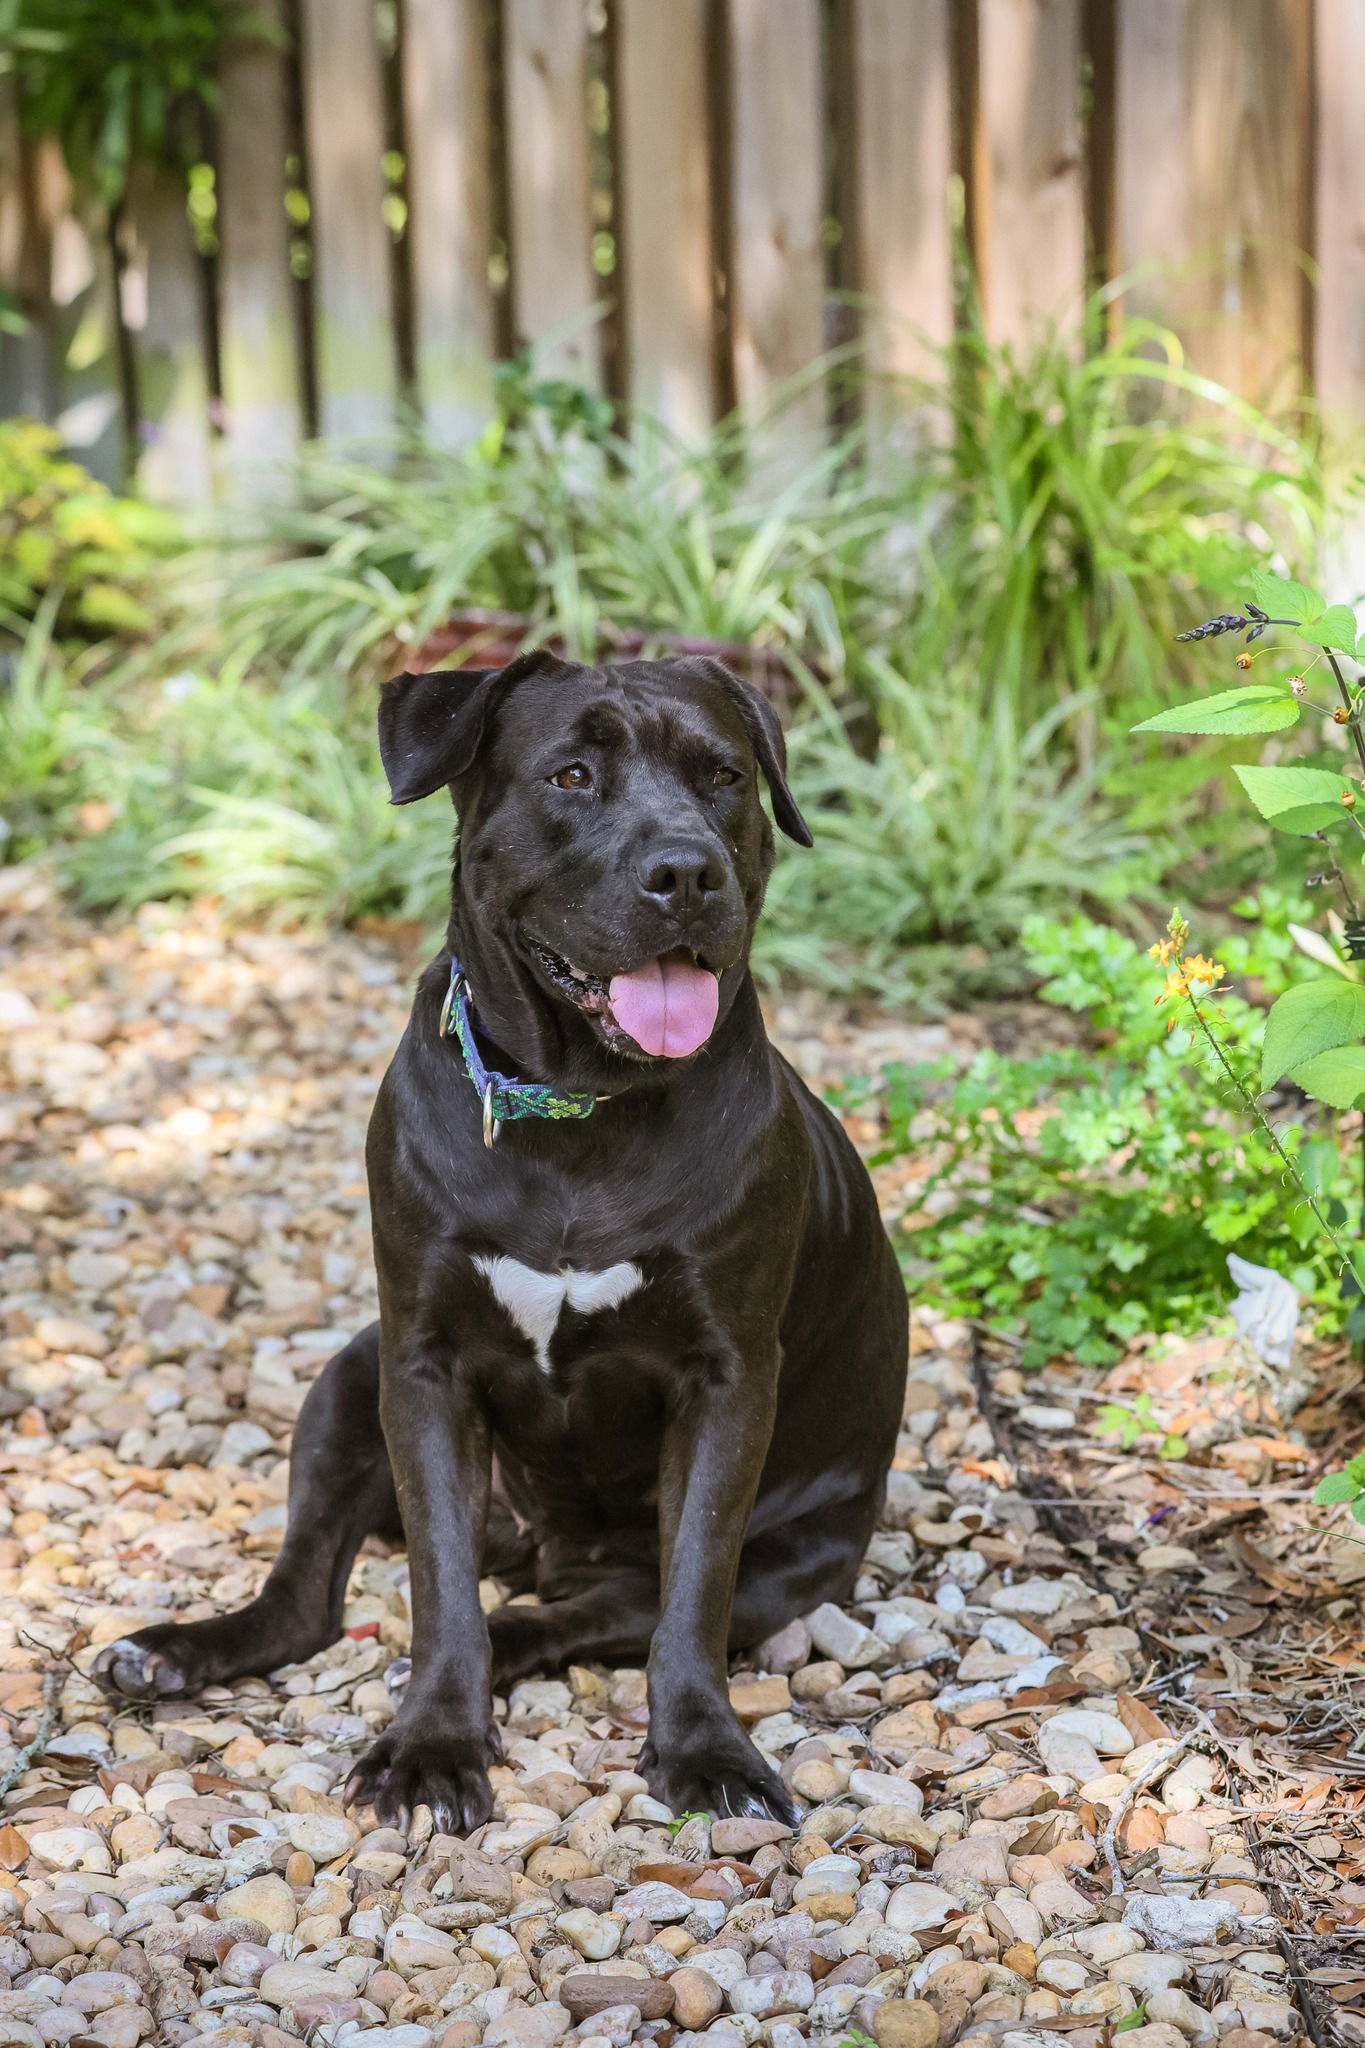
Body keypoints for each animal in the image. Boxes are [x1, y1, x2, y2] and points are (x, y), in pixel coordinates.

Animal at [96, 651, 908, 1826]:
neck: (577, 1109)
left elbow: (692, 1592)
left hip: (792, 1559)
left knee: (598, 1610)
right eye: (571, 774)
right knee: (307, 1603)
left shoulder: (725, 1383)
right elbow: (438, 1581)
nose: (686, 871)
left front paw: (705, 1748)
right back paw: (171, 1650)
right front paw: (432, 1744)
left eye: (722, 777)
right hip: (348, 1378)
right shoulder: (422, 1365)